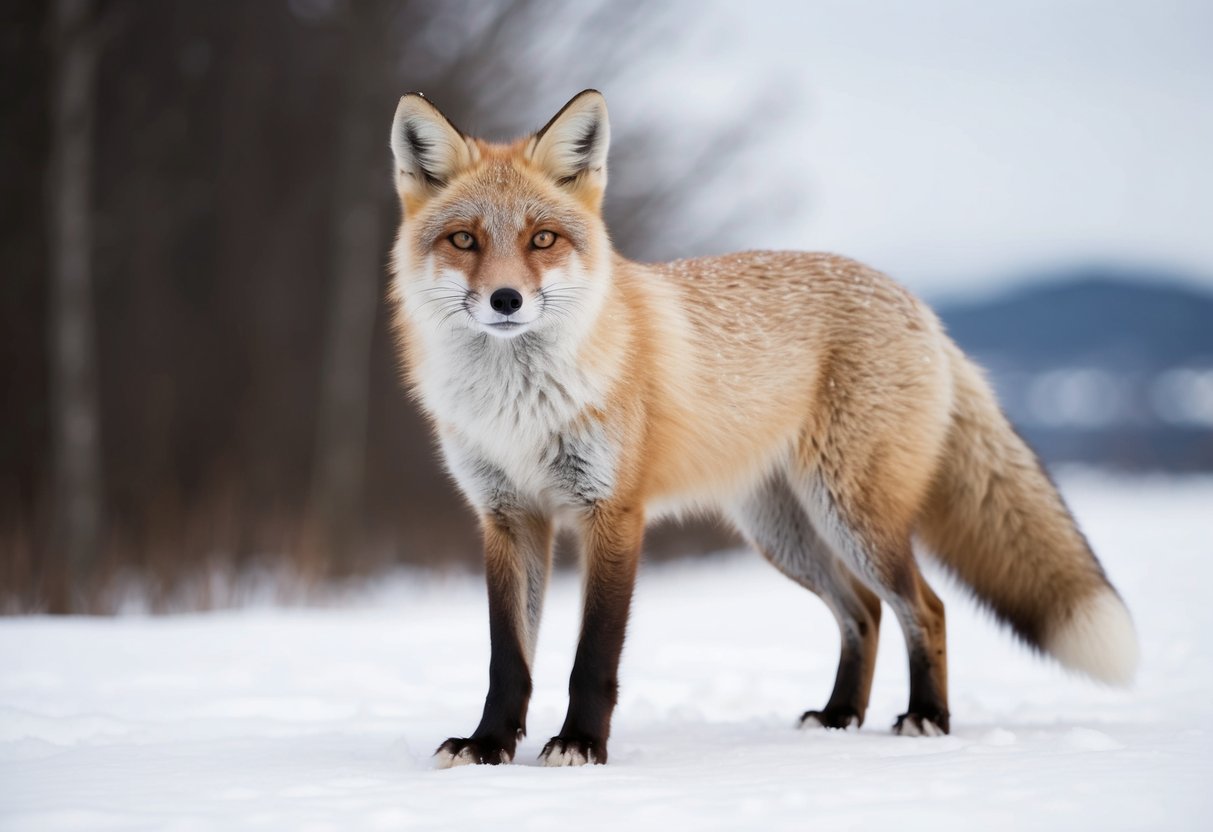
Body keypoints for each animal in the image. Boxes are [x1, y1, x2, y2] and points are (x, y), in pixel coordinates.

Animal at [386, 90, 1139, 768]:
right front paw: (488, 745)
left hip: (854, 516)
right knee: (863, 611)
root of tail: (917, 304)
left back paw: (926, 717)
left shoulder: (613, 512)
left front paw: (581, 745)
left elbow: (592, 654)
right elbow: (507, 657)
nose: (505, 299)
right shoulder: (508, 516)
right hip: (782, 532)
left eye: (541, 239)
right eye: (464, 240)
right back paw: (839, 716)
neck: (518, 407)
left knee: (924, 607)